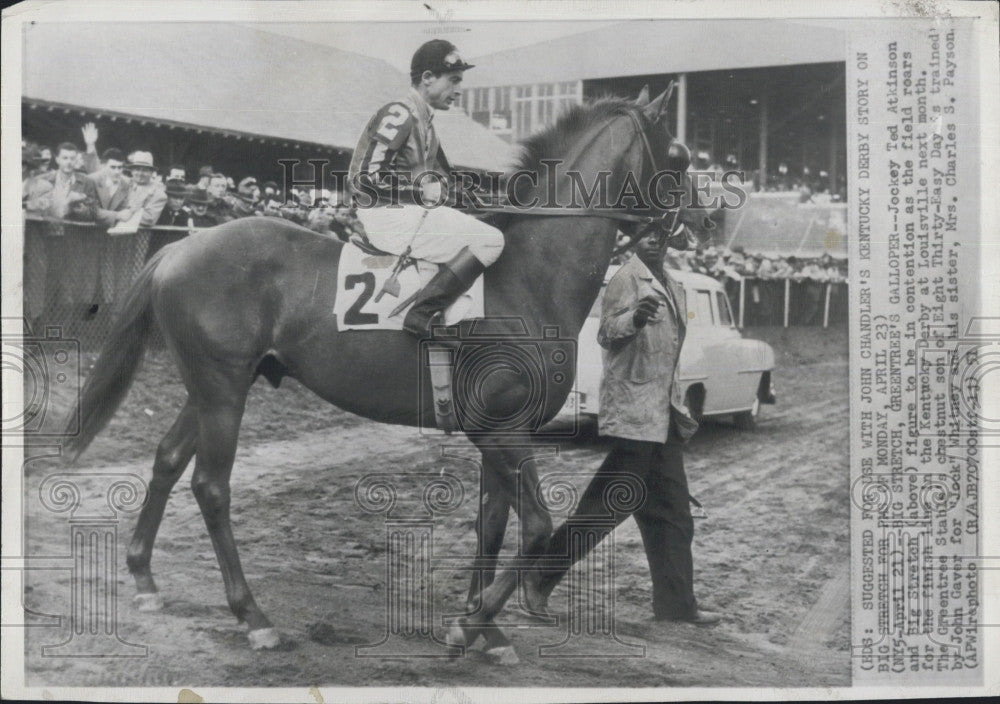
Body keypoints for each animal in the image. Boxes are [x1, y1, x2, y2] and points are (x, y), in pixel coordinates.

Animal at [66, 88, 684, 660]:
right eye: (677, 155)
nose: (684, 227)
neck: (527, 279)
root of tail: (180, 248)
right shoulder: (497, 430)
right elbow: (534, 526)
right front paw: (469, 627)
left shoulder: (506, 431)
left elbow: (491, 524)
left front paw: (487, 628)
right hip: (222, 388)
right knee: (211, 486)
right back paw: (254, 616)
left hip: (215, 384)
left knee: (169, 458)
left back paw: (144, 577)